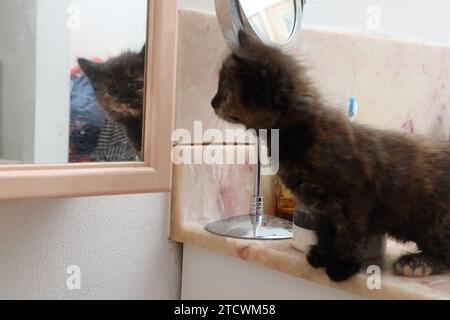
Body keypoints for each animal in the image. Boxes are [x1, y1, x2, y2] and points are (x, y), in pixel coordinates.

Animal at [212, 31, 450, 282]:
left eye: (224, 91)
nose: (212, 102)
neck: (300, 133)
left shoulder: (354, 200)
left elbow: (349, 235)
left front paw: (343, 265)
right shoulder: (319, 207)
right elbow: (325, 233)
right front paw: (322, 255)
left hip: (434, 222)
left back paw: (416, 263)